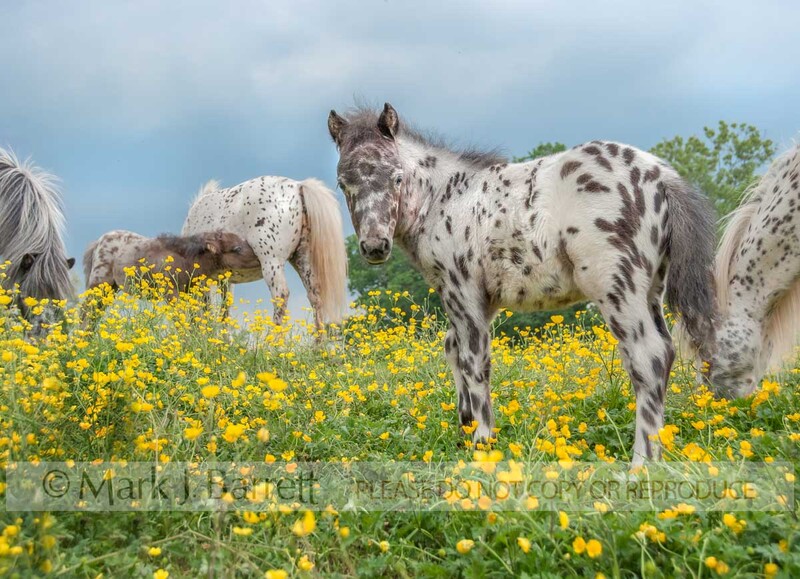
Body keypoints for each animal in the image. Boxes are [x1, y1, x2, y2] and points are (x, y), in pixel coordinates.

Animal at [83, 230, 260, 298]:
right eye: (236, 248)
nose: (259, 258)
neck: (186, 260)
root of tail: (98, 242)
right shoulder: (171, 293)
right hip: (98, 283)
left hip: (110, 288)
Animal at [182, 177, 348, 331]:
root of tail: (298, 186)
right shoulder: (225, 279)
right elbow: (224, 308)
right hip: (303, 261)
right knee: (315, 299)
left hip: (271, 262)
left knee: (281, 296)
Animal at [328, 103, 717, 465]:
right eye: (343, 183)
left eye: (396, 178)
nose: (375, 246)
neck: (445, 199)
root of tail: (660, 175)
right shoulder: (475, 300)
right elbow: (452, 349)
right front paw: (465, 430)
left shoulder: (462, 289)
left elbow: (474, 361)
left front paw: (482, 443)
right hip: (651, 289)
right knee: (665, 352)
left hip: (615, 286)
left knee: (648, 356)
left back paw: (642, 462)